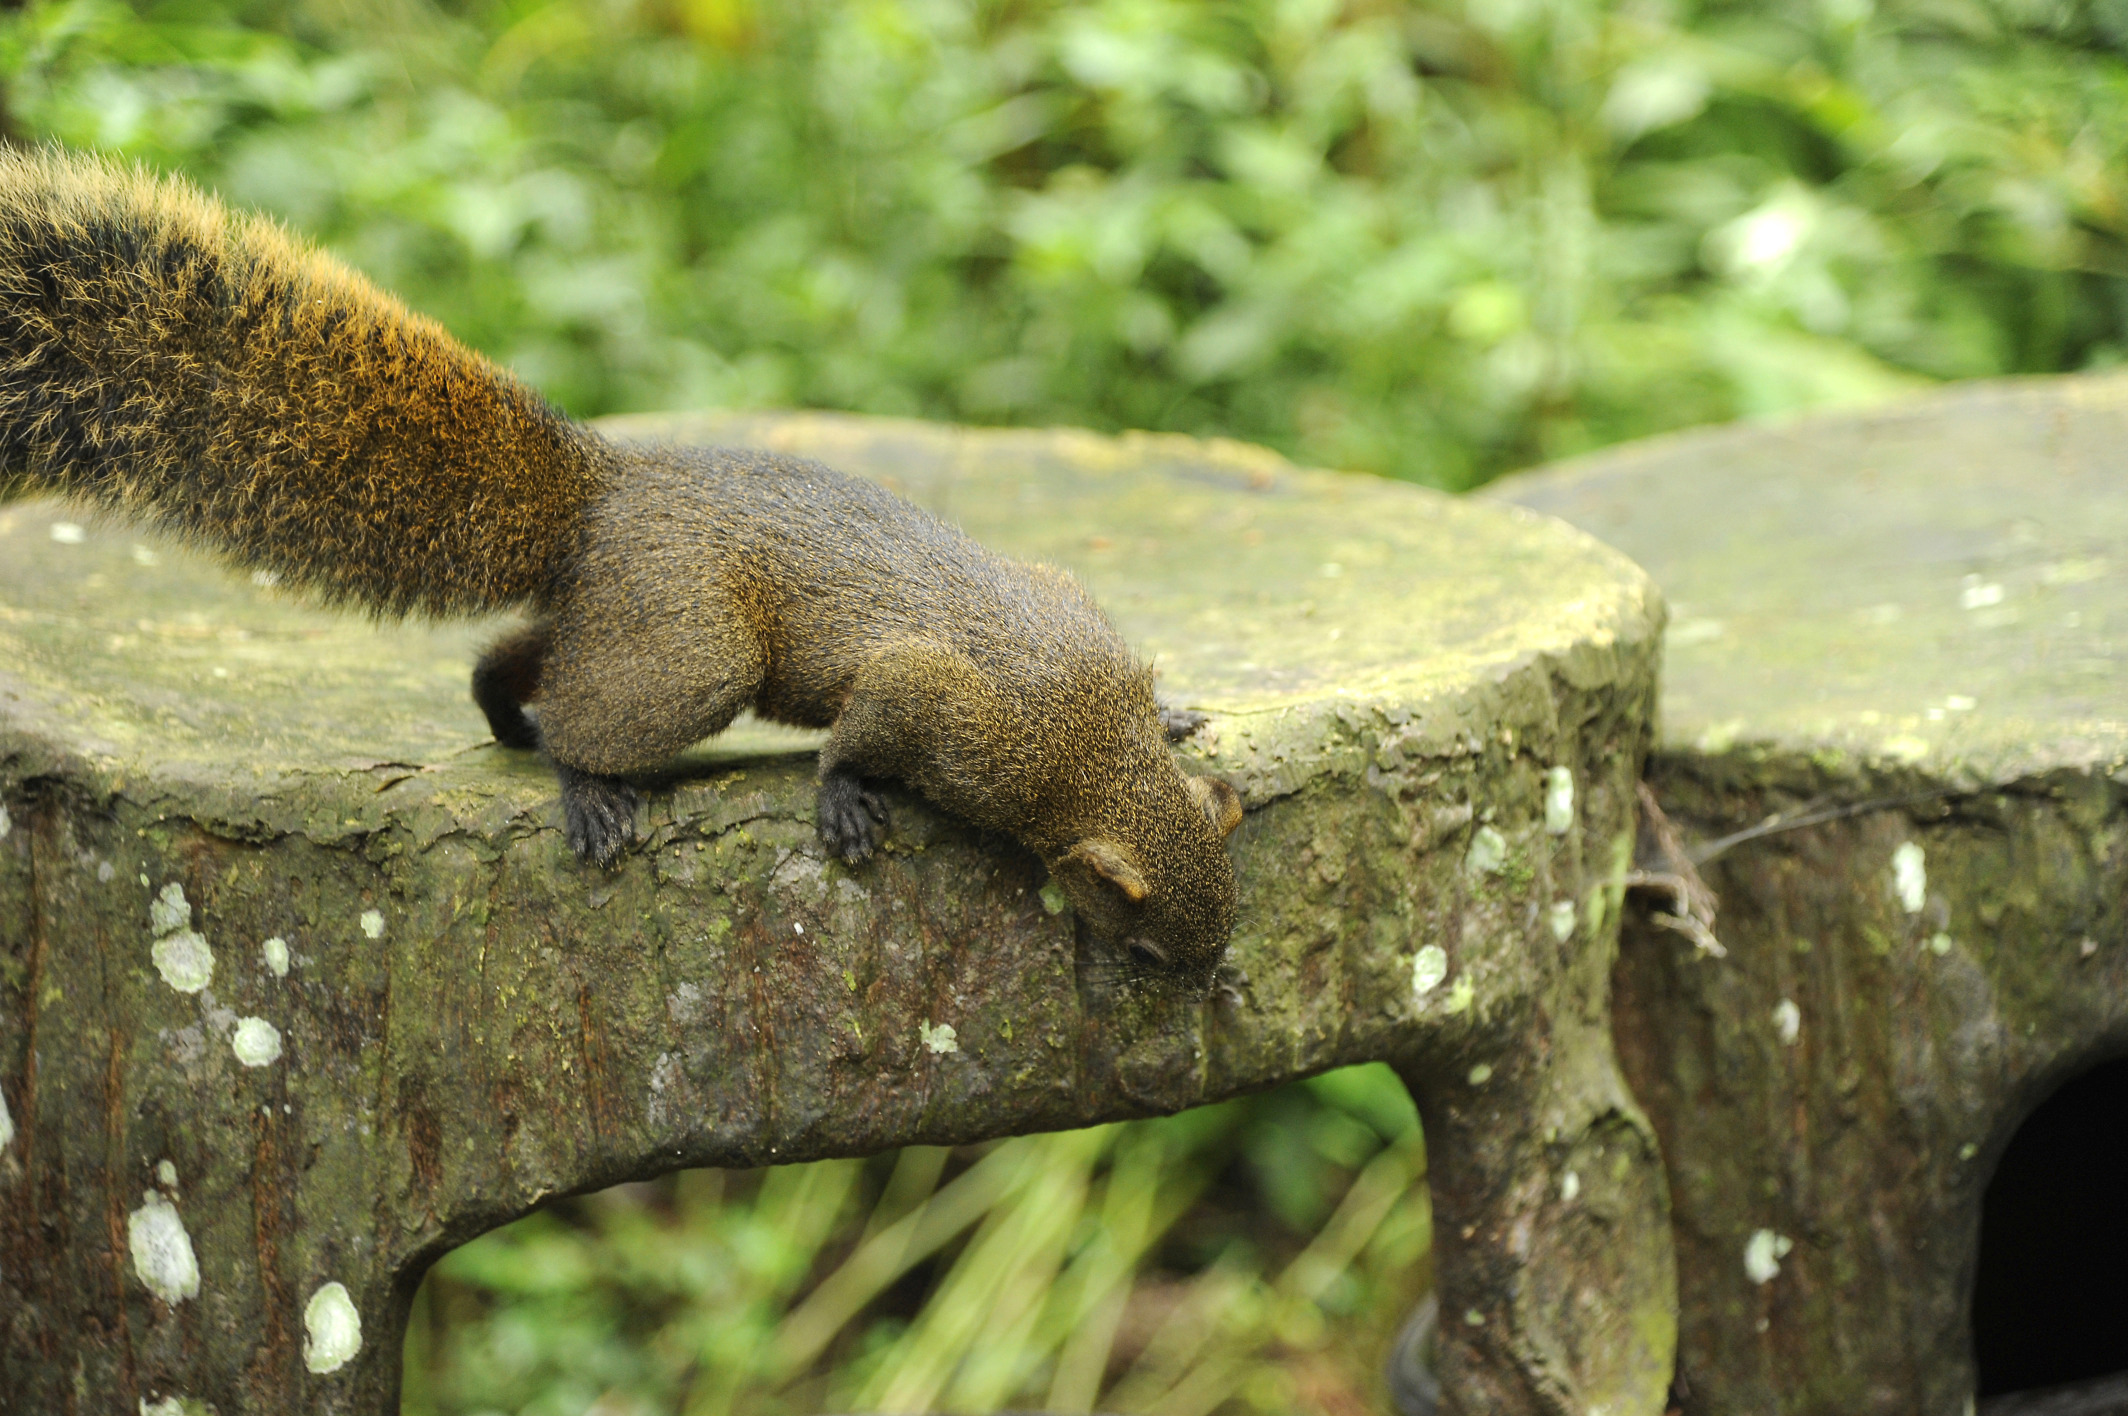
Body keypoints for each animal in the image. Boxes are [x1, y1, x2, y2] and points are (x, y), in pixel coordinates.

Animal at [0, 148, 1243, 986]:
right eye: (1146, 943)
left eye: (1227, 913)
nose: (1211, 989)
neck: (1088, 748)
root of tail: (601, 498)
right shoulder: (946, 705)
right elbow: (863, 730)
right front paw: (843, 803)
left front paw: (1181, 713)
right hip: (693, 648)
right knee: (580, 709)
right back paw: (585, 789)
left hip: (624, 615)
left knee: (514, 653)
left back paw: (500, 717)